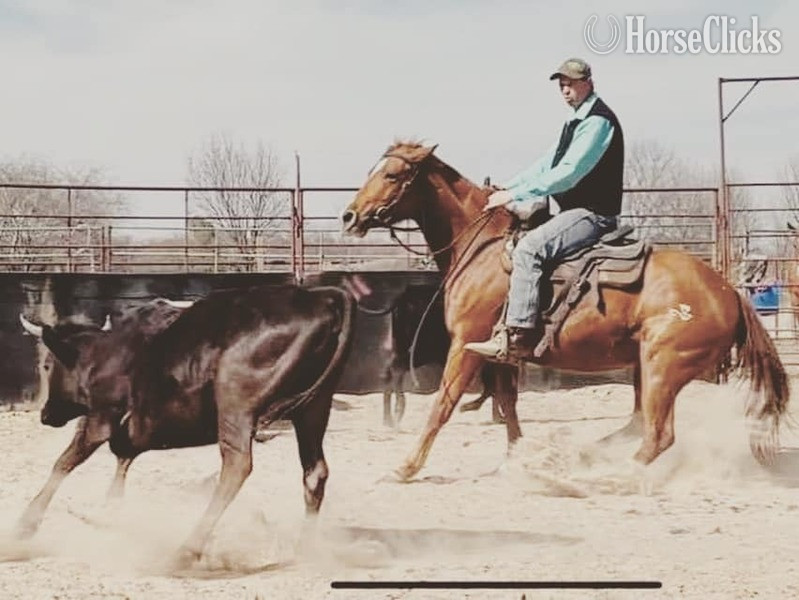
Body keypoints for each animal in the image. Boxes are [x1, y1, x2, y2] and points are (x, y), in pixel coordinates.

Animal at [342, 141, 789, 481]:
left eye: (392, 175)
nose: (350, 215)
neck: (482, 246)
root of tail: (729, 292)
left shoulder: (468, 343)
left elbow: (443, 404)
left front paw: (406, 467)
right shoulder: (501, 354)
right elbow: (508, 404)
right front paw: (517, 458)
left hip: (664, 365)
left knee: (658, 435)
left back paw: (610, 476)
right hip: (644, 366)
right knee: (638, 423)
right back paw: (584, 456)